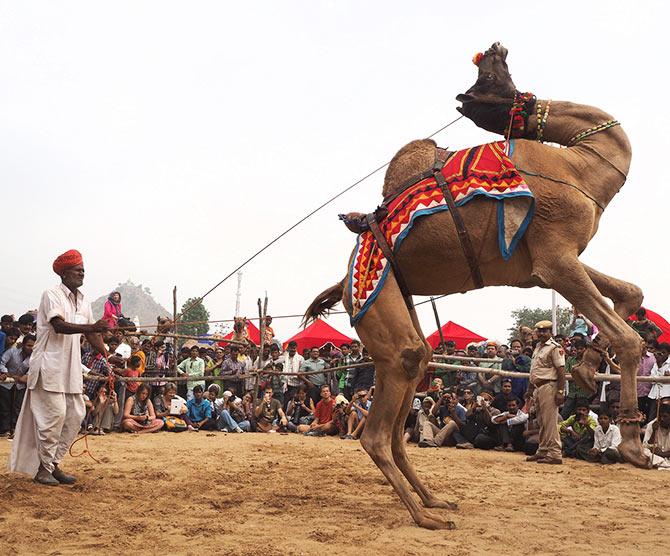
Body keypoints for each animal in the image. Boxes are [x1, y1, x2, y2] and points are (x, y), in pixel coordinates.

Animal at [306, 43, 652, 528]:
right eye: (487, 77)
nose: (495, 47)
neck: (580, 168)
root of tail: (343, 283)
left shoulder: (543, 266)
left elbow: (632, 292)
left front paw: (586, 366)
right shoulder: (555, 260)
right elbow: (629, 338)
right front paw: (634, 448)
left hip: (394, 300)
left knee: (415, 370)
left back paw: (435, 501)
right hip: (372, 300)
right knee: (381, 421)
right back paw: (425, 517)